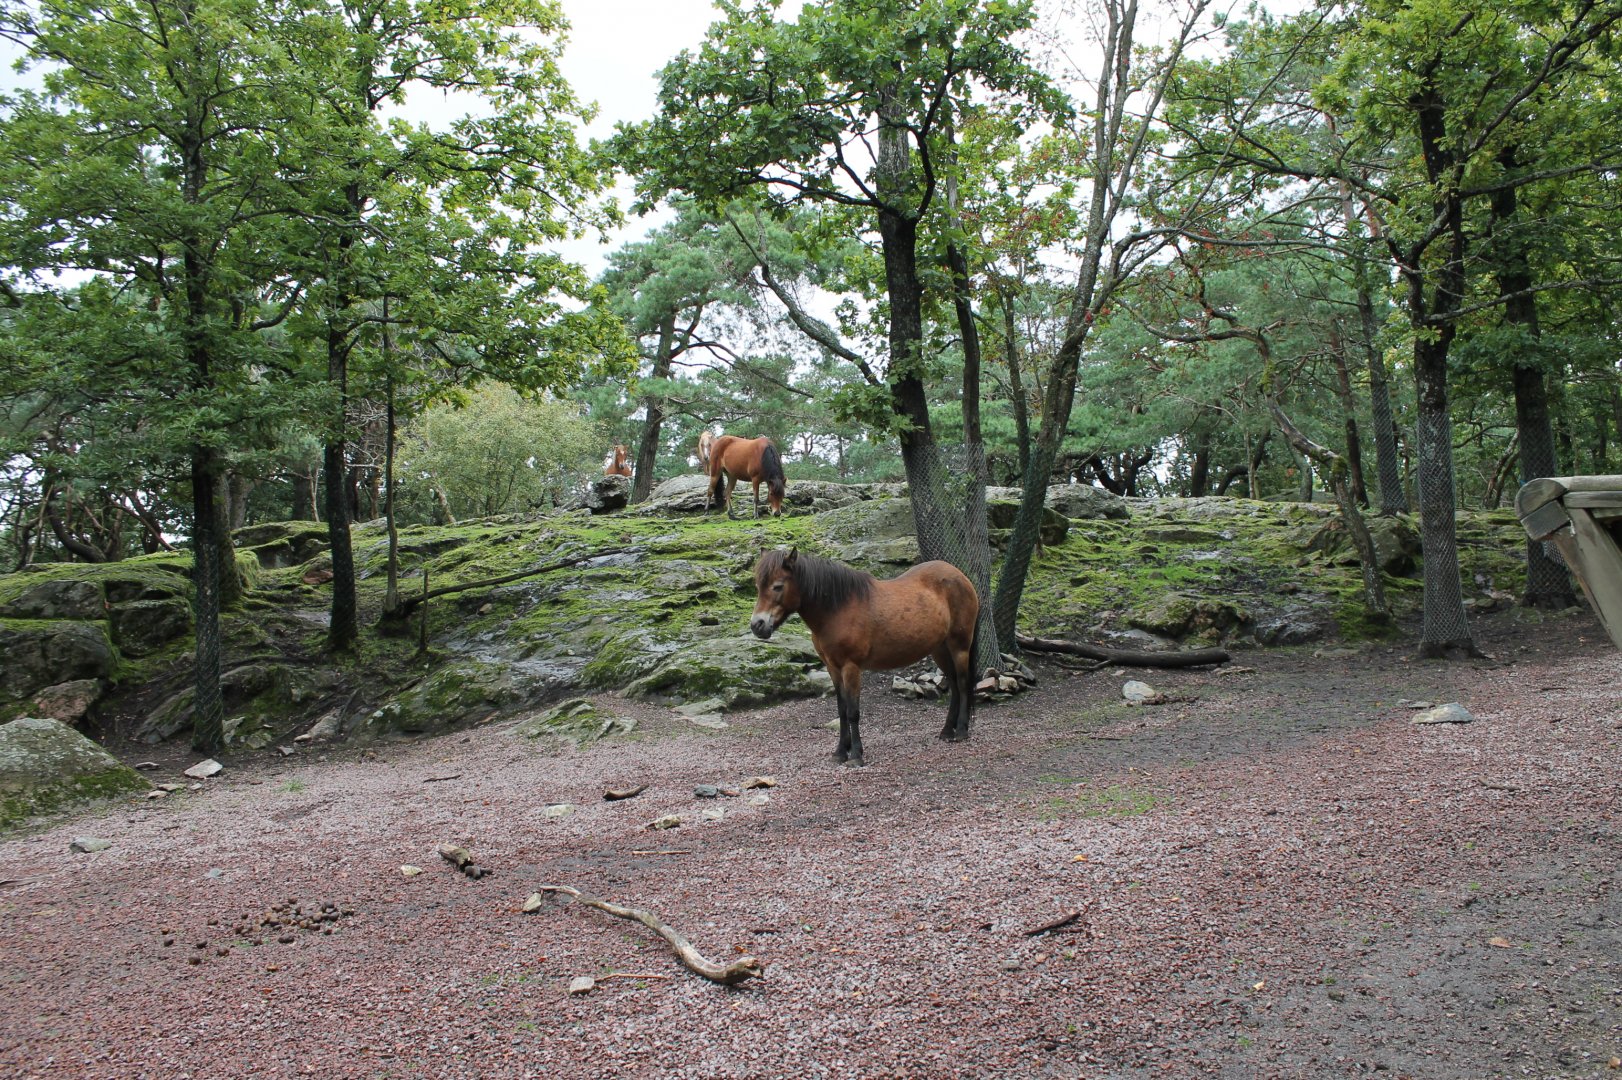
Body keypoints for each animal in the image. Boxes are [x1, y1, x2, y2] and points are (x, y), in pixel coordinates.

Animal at [750, 547, 978, 767]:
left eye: (778, 586)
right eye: (758, 586)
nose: (757, 625)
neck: (837, 609)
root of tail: (960, 576)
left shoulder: (851, 667)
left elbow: (853, 712)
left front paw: (856, 755)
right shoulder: (833, 668)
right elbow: (842, 710)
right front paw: (840, 753)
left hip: (959, 646)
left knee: (962, 683)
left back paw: (961, 731)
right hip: (939, 649)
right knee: (954, 684)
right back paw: (947, 731)